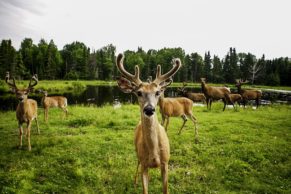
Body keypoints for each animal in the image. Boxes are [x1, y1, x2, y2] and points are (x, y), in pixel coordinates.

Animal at [116, 53, 181, 194]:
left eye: (157, 92)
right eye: (139, 92)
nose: (149, 109)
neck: (154, 152)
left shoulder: (165, 163)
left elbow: (165, 190)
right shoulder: (144, 164)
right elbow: (145, 189)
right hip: (137, 154)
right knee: (137, 165)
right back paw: (135, 181)